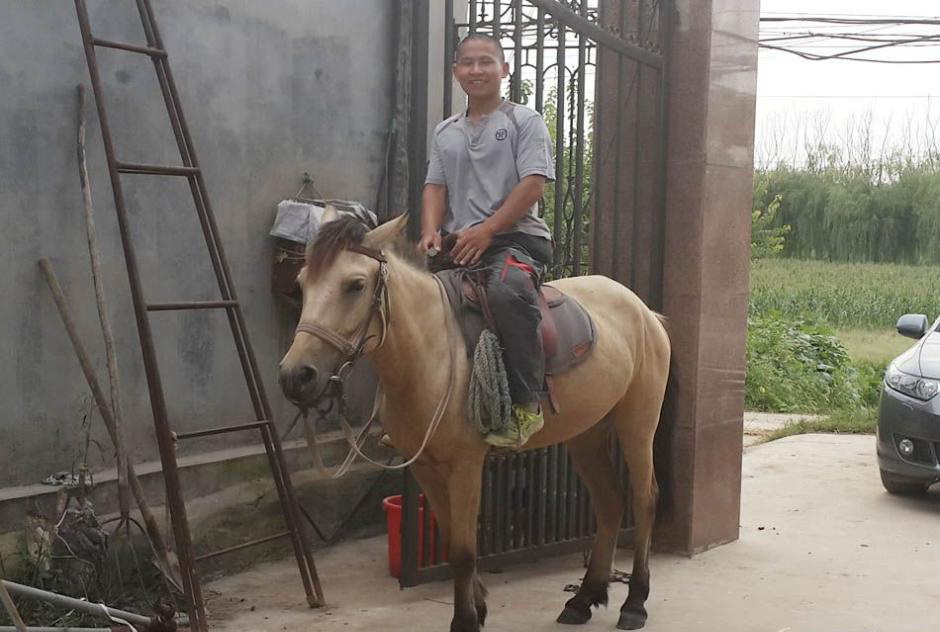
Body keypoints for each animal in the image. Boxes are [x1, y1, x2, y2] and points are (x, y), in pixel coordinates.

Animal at [276, 210, 672, 628]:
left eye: (355, 285)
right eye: (302, 284)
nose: (296, 376)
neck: (431, 351)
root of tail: (643, 310)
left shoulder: (465, 465)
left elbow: (465, 550)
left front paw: (465, 619)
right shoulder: (425, 466)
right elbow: (452, 541)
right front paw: (477, 607)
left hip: (638, 423)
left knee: (645, 499)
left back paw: (635, 602)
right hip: (587, 433)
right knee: (609, 502)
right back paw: (585, 598)